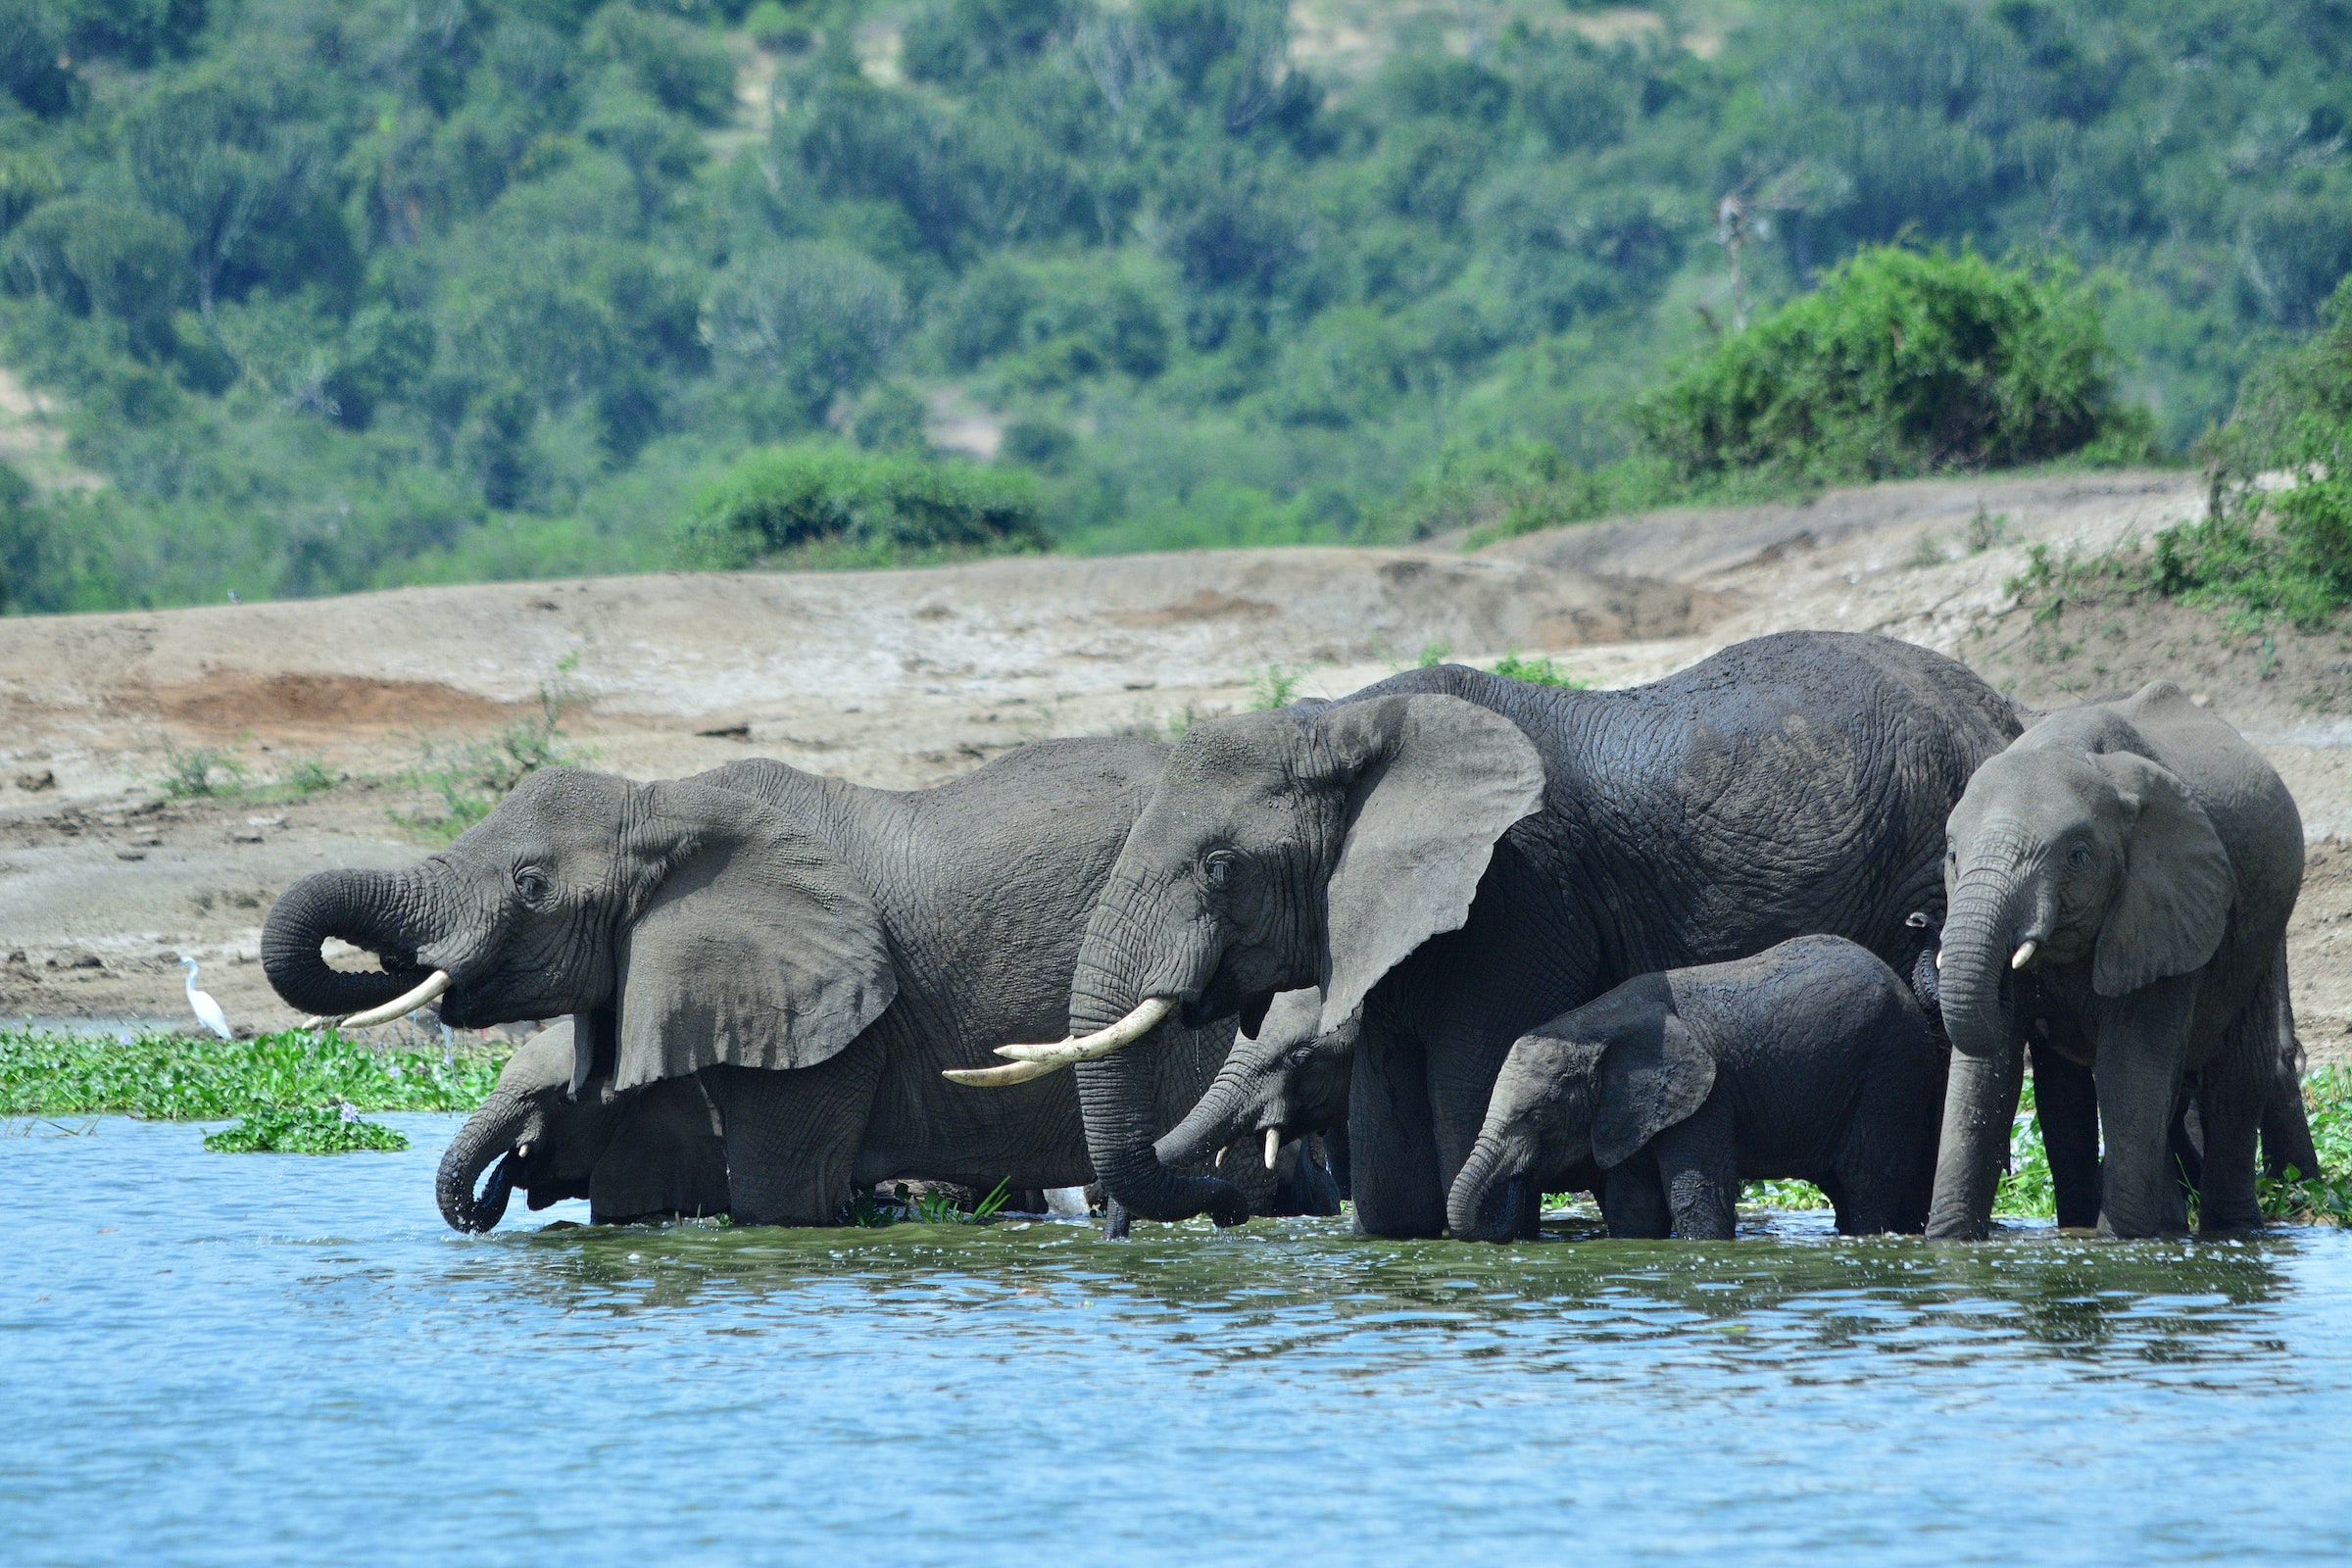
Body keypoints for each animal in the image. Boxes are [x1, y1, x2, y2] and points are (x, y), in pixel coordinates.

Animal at [1448, 940, 1947, 1241]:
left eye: (1538, 1116)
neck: (1593, 1027)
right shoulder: (1630, 1112)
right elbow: (1634, 1210)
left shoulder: (1706, 1097)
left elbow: (1696, 1198)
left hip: (1890, 1067)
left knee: (1864, 1180)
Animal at [1929, 681, 2314, 1241]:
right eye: (1953, 856)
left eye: (2078, 856)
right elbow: (1984, 1077)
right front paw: (1947, 1243)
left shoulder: (2166, 907)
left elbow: (2128, 1070)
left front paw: (2119, 1244)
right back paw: (2167, 1226)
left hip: (2263, 931)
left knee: (2237, 1078)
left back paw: (2230, 1231)